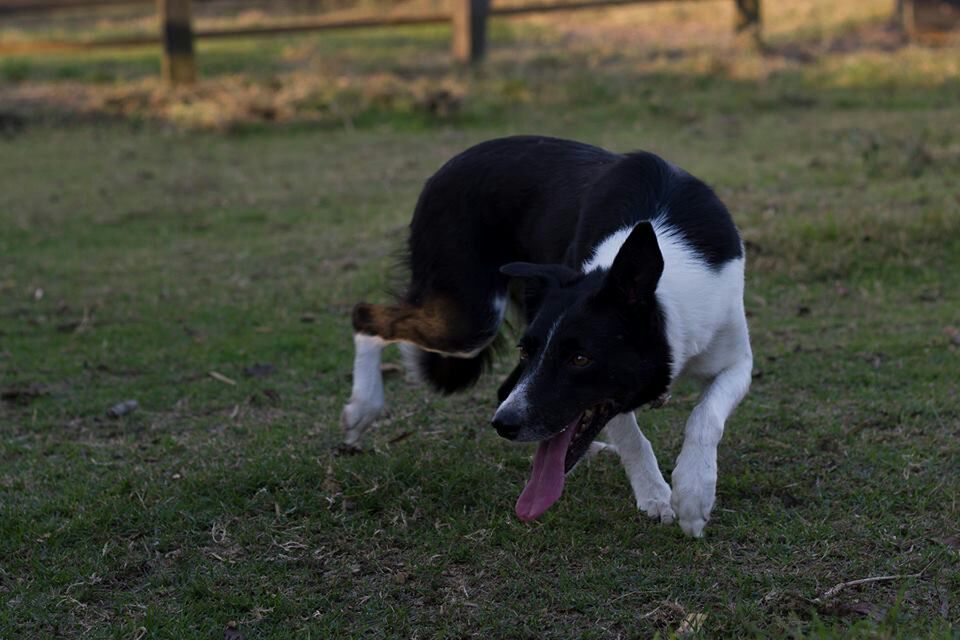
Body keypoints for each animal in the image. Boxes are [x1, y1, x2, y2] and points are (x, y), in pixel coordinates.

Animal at [341, 136, 752, 537]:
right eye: (525, 351)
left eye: (580, 359)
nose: (504, 426)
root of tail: (447, 166)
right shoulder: (603, 387)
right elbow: (631, 434)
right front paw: (657, 495)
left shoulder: (736, 360)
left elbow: (704, 416)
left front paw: (693, 491)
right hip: (469, 320)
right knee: (365, 316)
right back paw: (363, 406)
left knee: (503, 390)